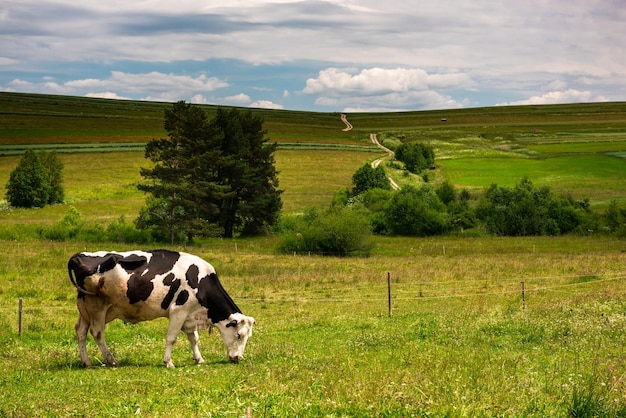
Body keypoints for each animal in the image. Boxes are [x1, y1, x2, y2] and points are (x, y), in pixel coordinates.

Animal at [68, 250, 254, 368]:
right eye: (239, 335)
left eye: (248, 336)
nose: (239, 357)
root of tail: (78, 256)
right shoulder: (178, 311)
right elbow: (171, 338)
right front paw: (168, 362)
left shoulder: (189, 315)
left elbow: (193, 338)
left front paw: (199, 359)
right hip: (97, 307)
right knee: (97, 332)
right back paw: (112, 360)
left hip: (86, 308)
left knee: (81, 331)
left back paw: (86, 362)